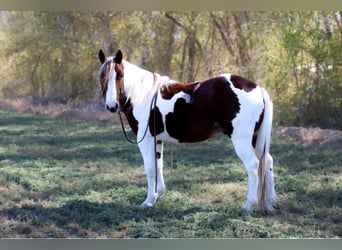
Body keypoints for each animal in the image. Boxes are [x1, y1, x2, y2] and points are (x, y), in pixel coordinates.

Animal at [97, 49, 276, 213]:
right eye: (102, 77)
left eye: (120, 75)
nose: (112, 106)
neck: (143, 95)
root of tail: (256, 87)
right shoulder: (157, 139)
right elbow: (159, 165)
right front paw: (159, 194)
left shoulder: (146, 139)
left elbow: (150, 168)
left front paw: (148, 201)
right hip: (255, 139)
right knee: (267, 162)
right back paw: (270, 203)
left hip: (242, 140)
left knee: (253, 165)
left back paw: (248, 205)